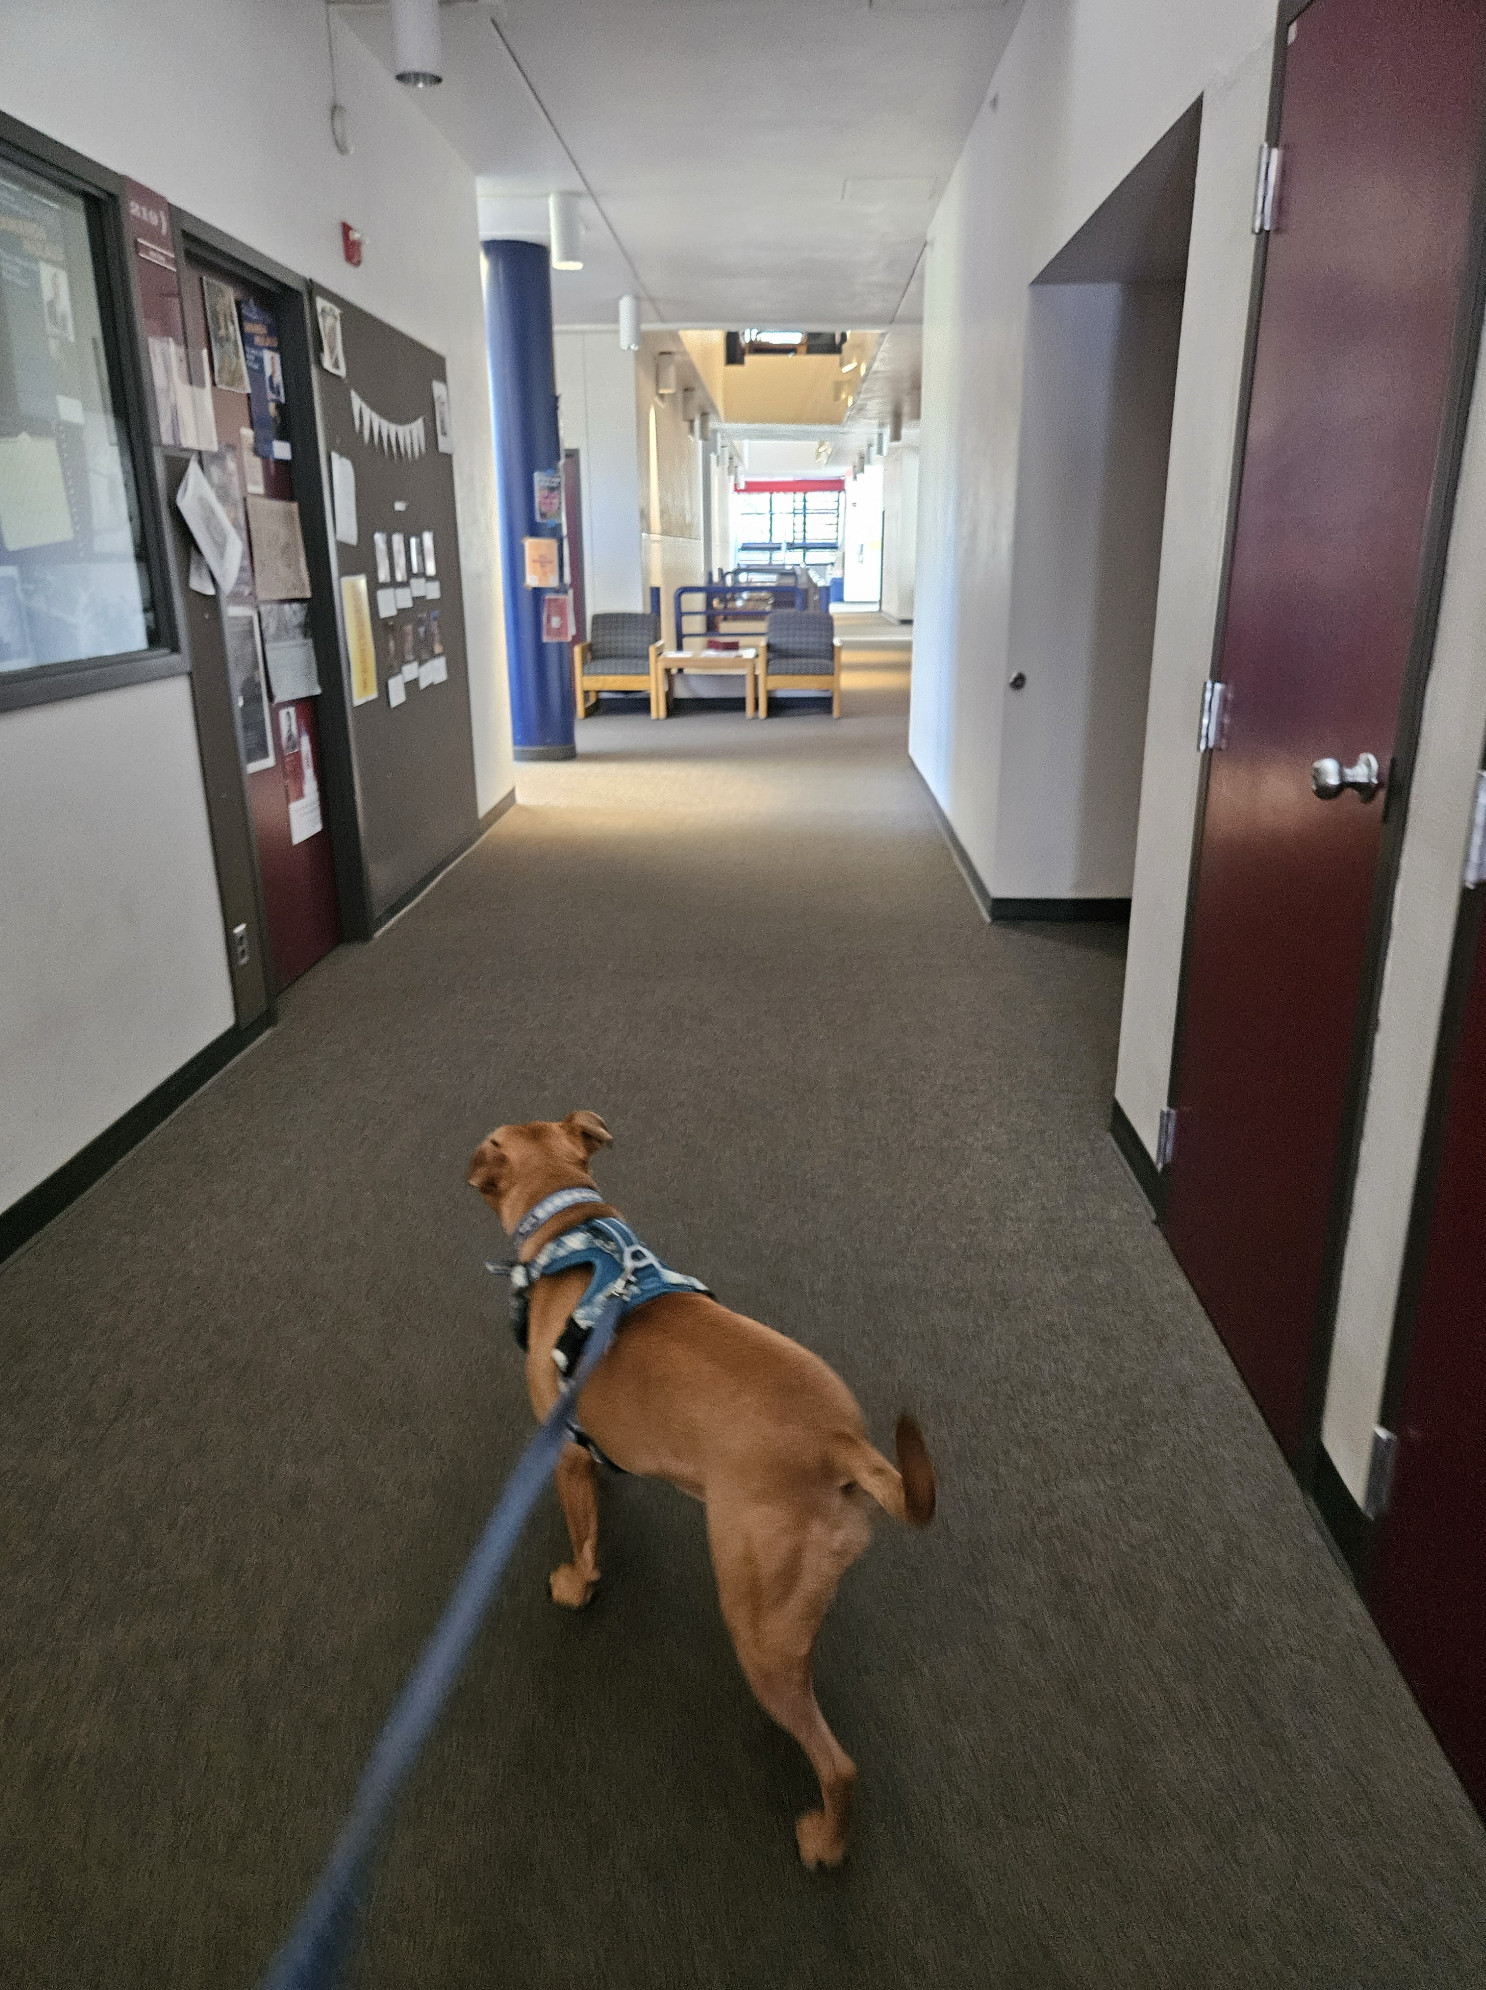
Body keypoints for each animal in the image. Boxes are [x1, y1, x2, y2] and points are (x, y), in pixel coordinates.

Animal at [465, 1114, 934, 1854]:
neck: (572, 1229)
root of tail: (839, 1443)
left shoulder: (561, 1454)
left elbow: (582, 1539)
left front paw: (576, 1586)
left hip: (755, 1619)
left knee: (839, 1764)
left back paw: (824, 1844)